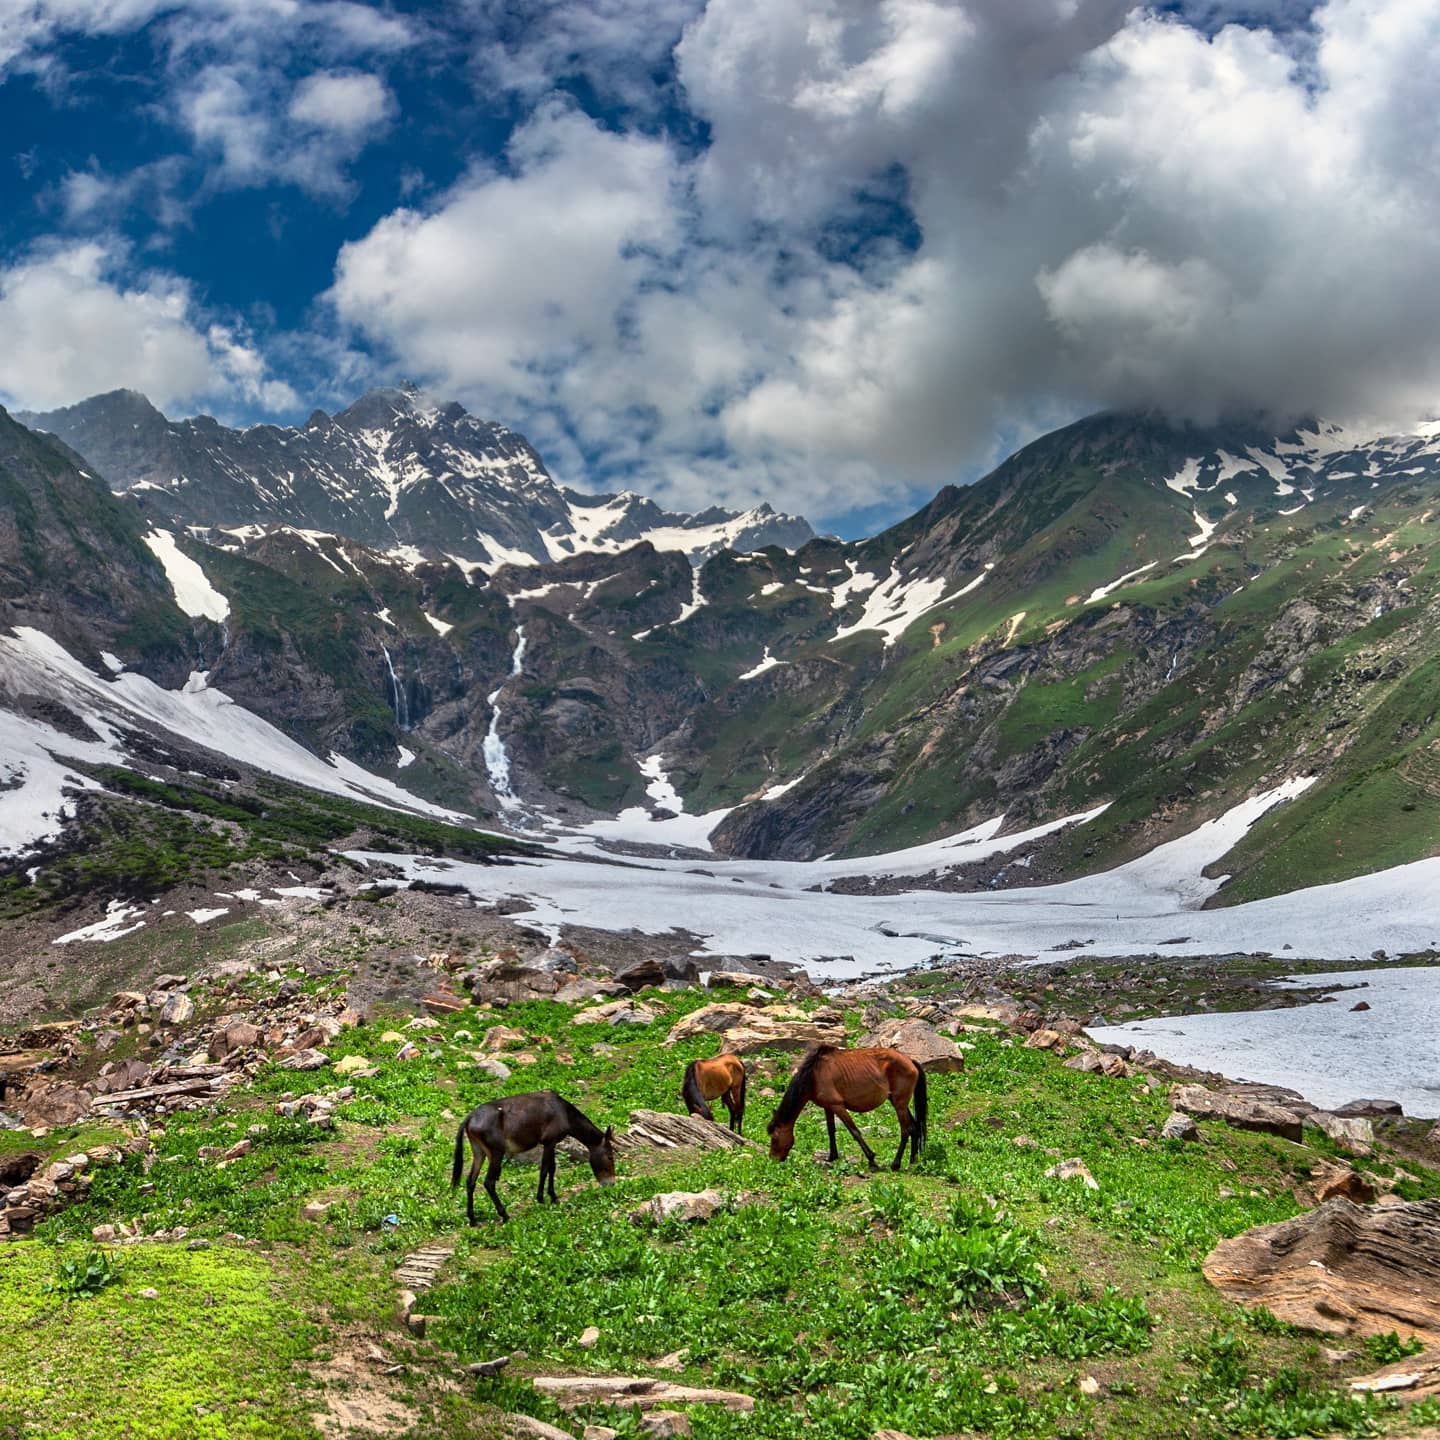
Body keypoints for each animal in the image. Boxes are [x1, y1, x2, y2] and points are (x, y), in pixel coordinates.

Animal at [452, 1088, 616, 1226]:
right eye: (610, 1156)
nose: (611, 1183)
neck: (563, 1112)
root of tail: (470, 1117)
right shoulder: (550, 1142)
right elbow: (545, 1169)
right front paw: (543, 1198)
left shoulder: (551, 1144)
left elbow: (551, 1168)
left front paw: (552, 1196)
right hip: (496, 1153)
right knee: (489, 1183)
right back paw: (504, 1215)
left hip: (479, 1152)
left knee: (470, 1181)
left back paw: (473, 1219)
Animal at [771, 1048, 927, 1169]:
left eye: (774, 1137)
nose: (772, 1159)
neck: (814, 1074)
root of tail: (910, 1061)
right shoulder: (828, 1107)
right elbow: (831, 1131)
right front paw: (832, 1156)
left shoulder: (838, 1106)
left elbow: (854, 1132)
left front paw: (871, 1159)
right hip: (898, 1102)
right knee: (914, 1128)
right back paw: (912, 1161)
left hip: (900, 1104)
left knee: (906, 1130)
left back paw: (896, 1164)